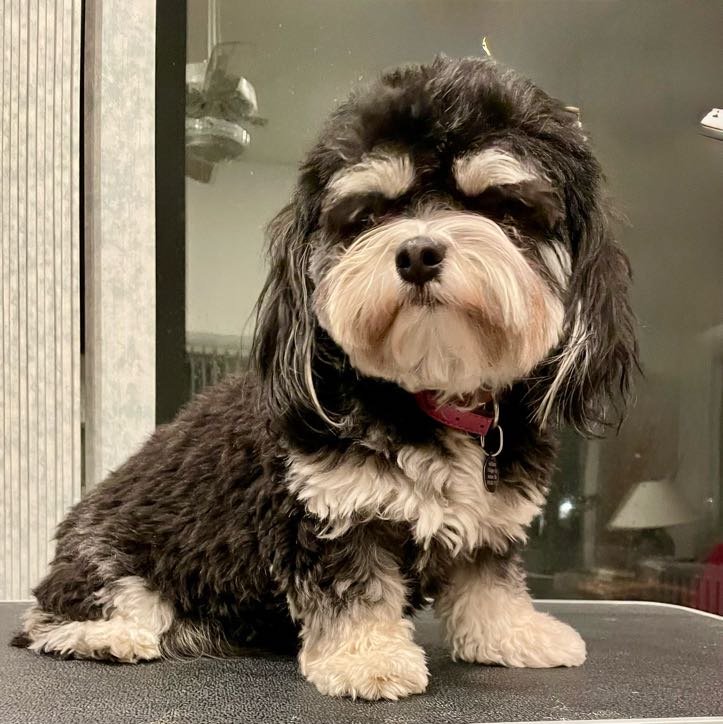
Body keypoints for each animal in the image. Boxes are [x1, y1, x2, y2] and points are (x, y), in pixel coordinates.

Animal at [13, 56, 637, 700]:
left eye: (498, 205)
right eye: (369, 215)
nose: (417, 253)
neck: (427, 396)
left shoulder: (489, 519)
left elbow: (489, 582)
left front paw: (514, 634)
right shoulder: (330, 510)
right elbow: (354, 592)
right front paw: (369, 660)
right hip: (111, 551)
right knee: (58, 613)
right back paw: (104, 635)